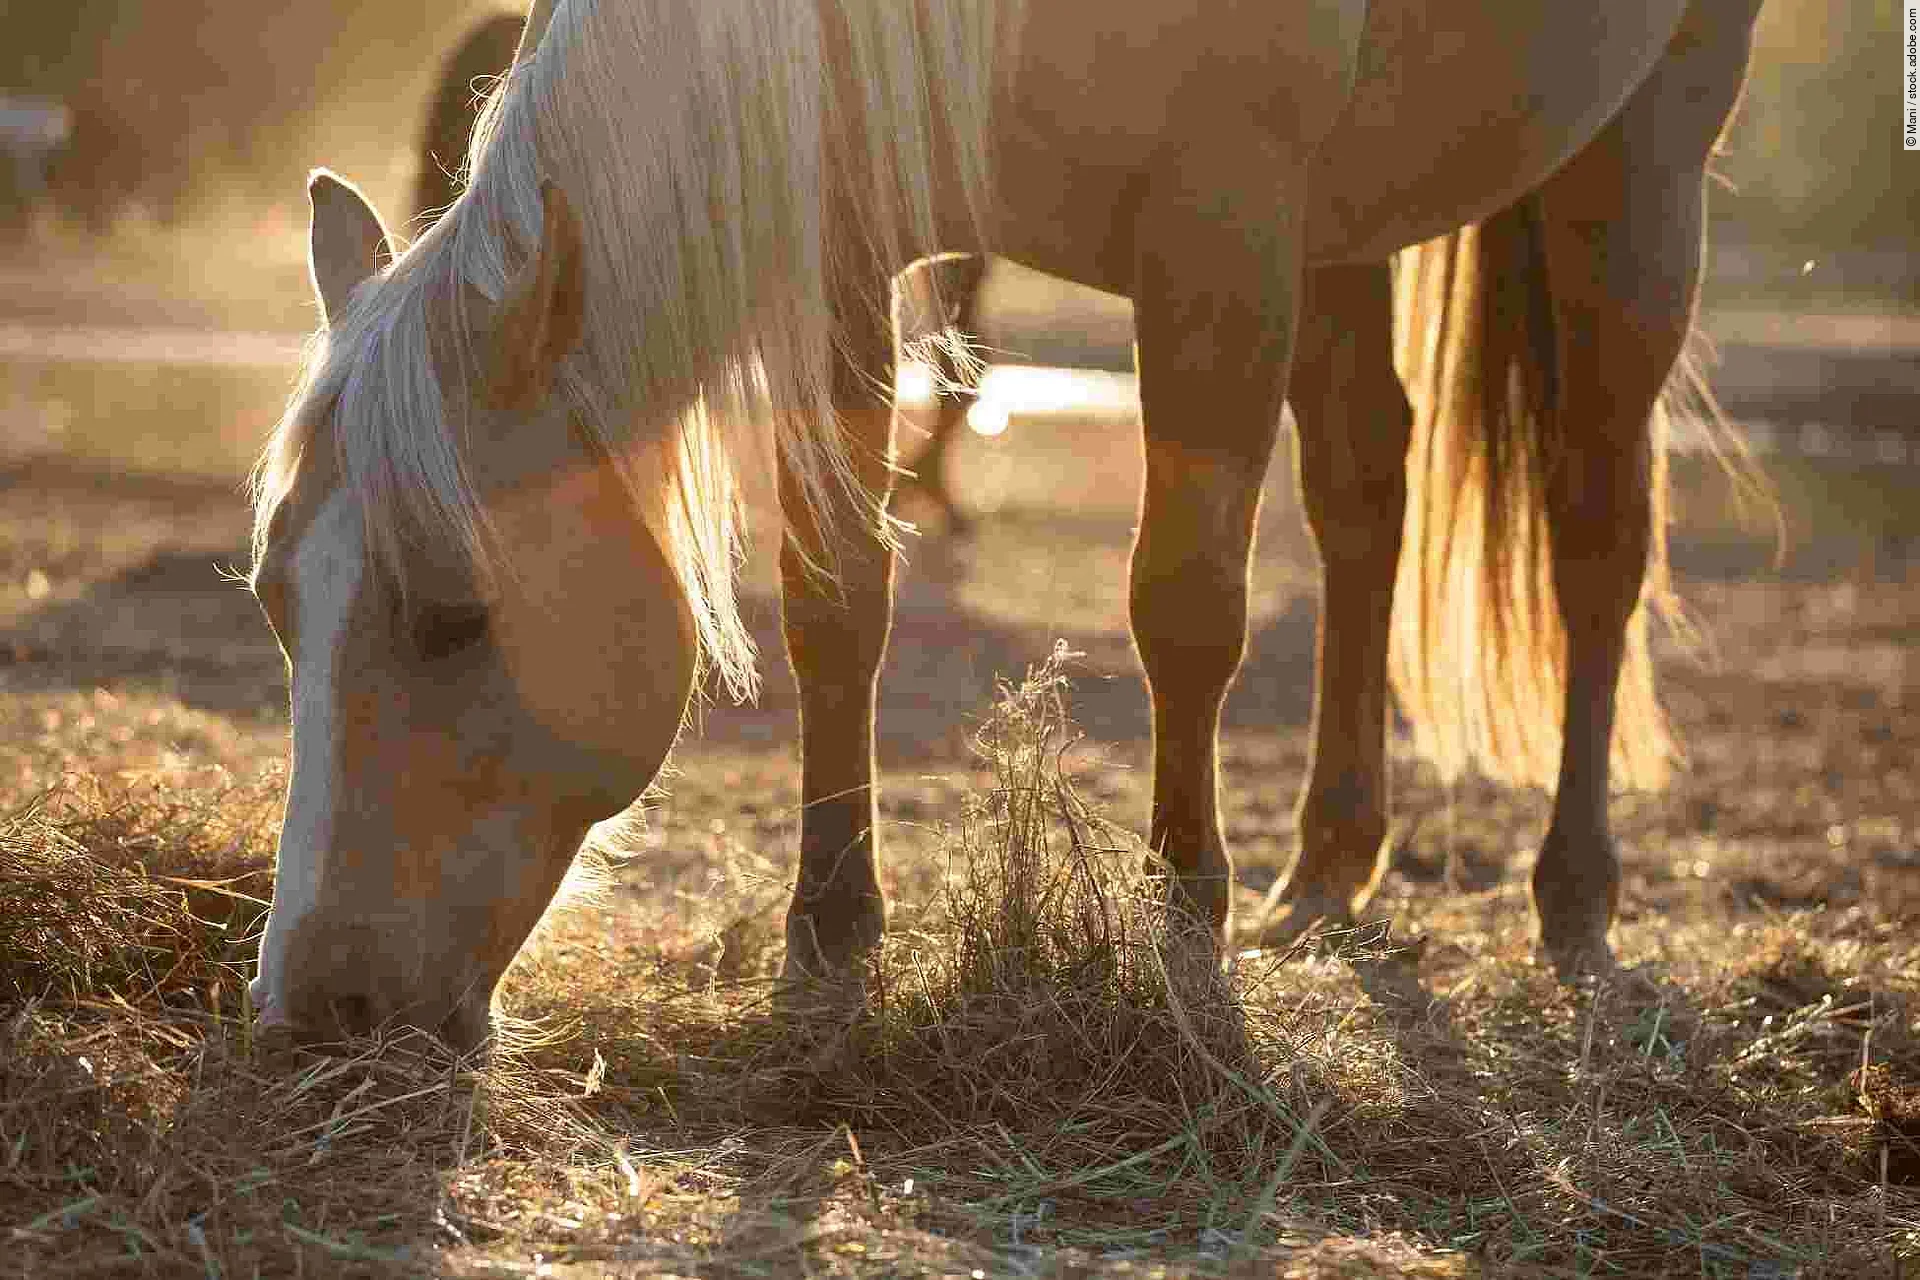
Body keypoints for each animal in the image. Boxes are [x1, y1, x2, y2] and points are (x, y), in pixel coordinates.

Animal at [247, 0, 1763, 1049]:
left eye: (452, 613)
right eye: (273, 602)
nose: (311, 1008)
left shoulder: (1221, 230)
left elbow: (1185, 600)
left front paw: (1184, 921)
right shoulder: (852, 244)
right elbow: (836, 595)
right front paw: (833, 926)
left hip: (1645, 152)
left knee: (1597, 530)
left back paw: (1573, 894)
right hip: (1353, 218)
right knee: (1361, 495)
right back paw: (1329, 864)